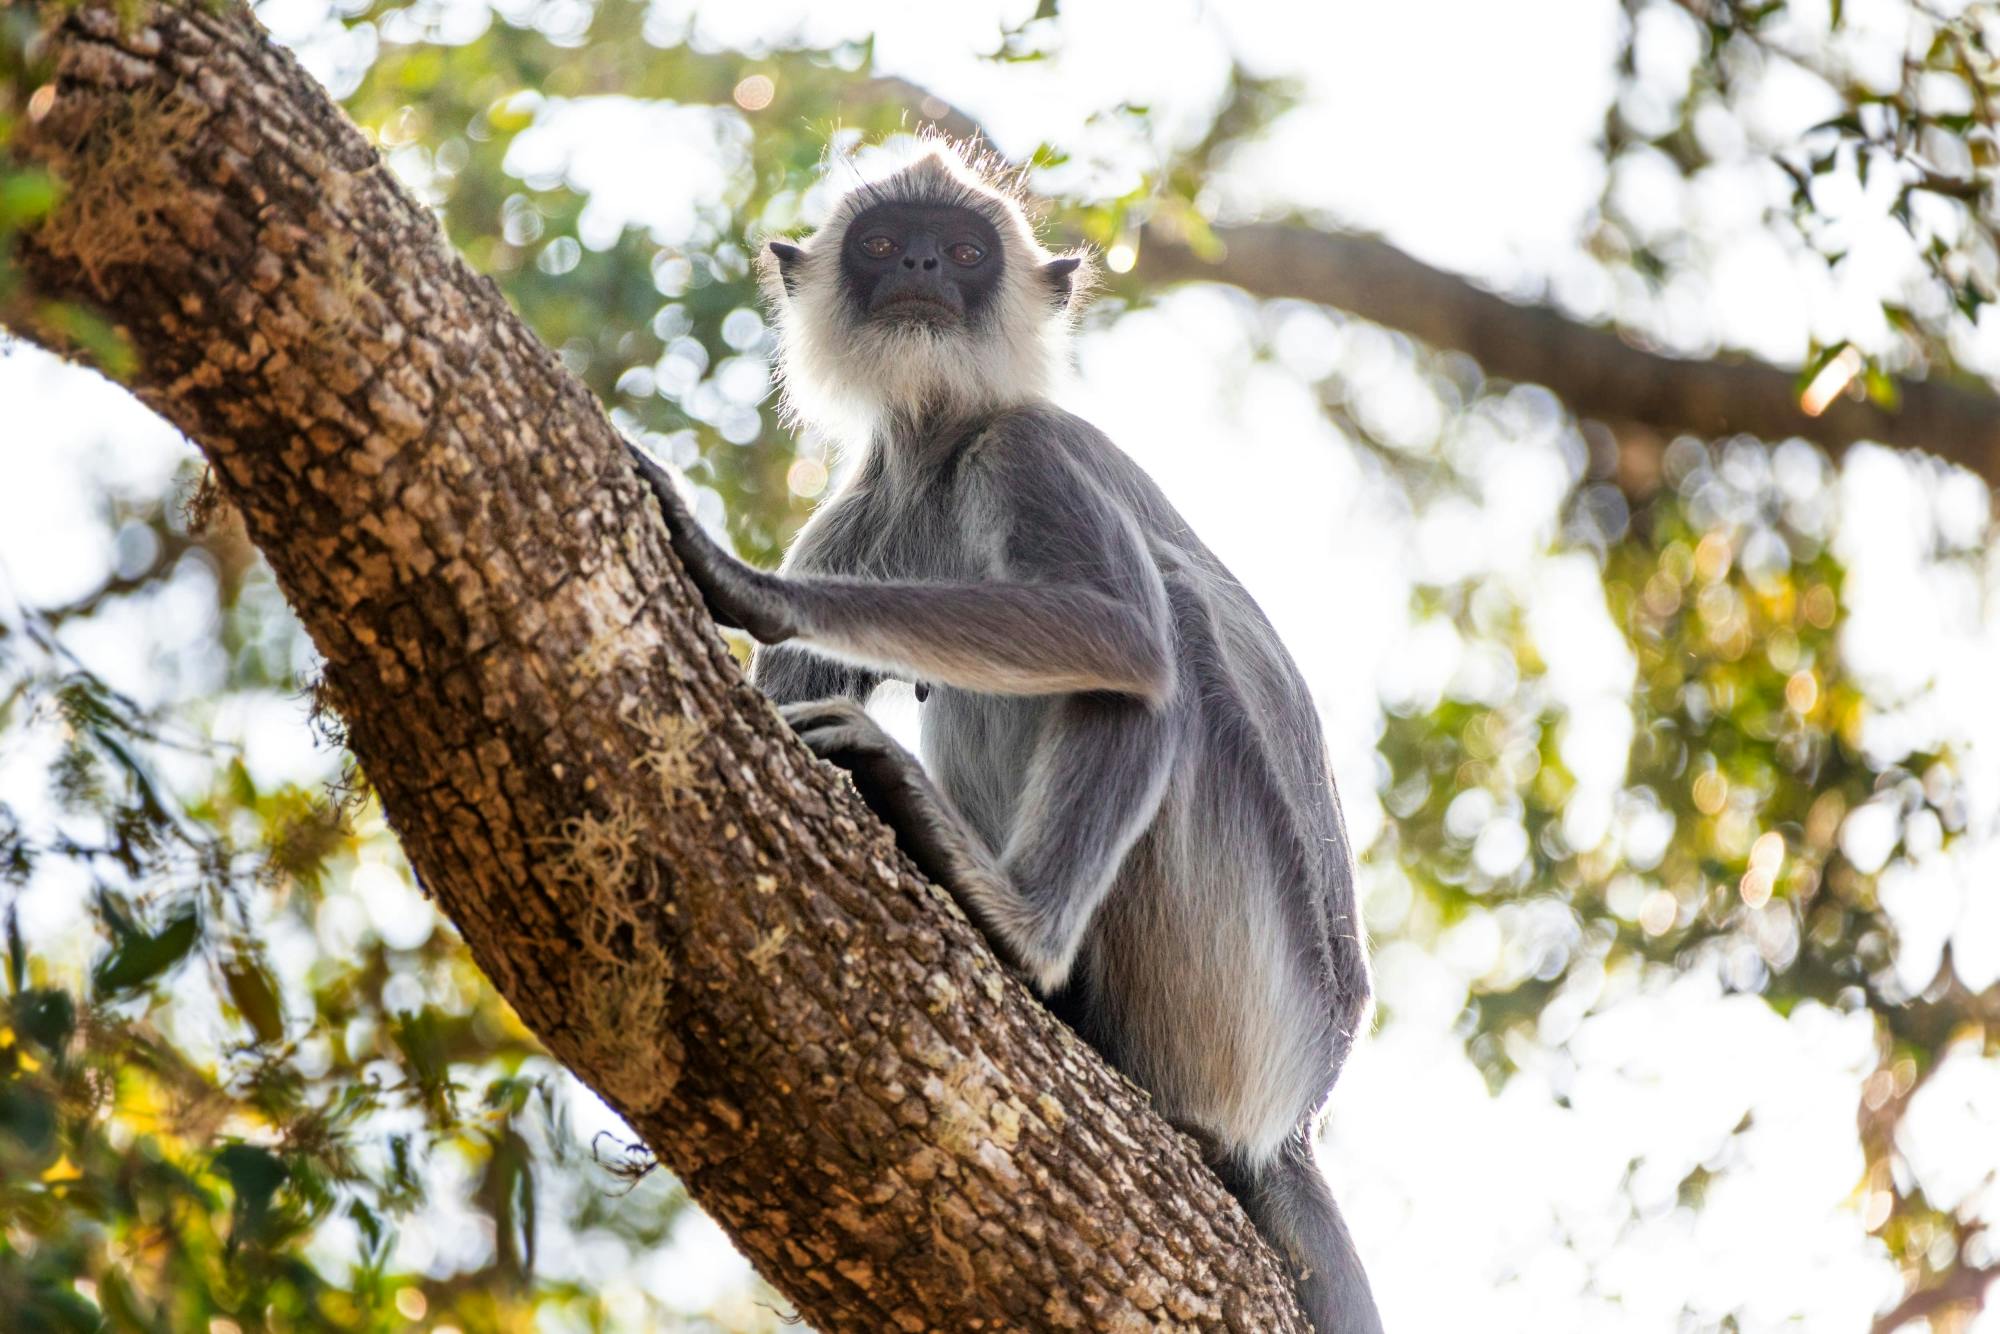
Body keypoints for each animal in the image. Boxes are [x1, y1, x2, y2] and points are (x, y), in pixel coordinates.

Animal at [632, 146, 1384, 1334]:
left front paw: (743, 582)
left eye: (964, 248)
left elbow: (1124, 637)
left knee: (1165, 637)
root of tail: (1300, 1111)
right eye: (884, 244)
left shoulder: (1024, 449)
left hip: (1237, 989)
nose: (926, 268)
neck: (940, 448)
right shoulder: (858, 512)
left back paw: (1019, 927)